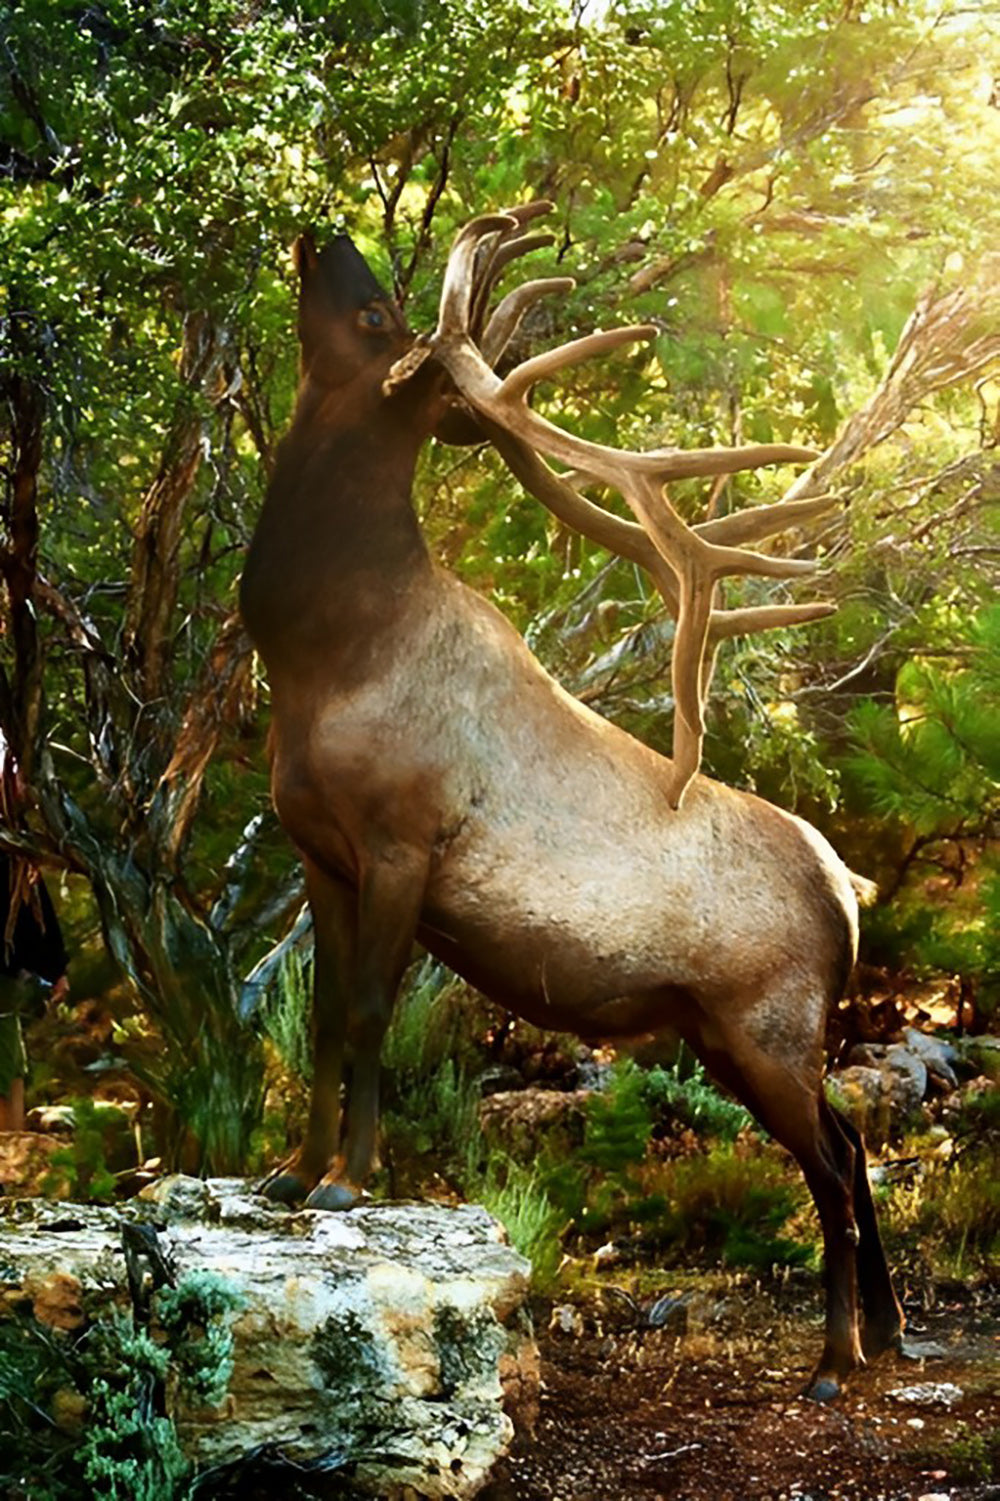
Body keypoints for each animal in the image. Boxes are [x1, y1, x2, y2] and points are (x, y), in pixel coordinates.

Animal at [239, 204, 903, 1401]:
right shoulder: (317, 847)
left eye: (378, 315)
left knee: (831, 1163)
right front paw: (286, 1173)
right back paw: (886, 1327)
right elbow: (317, 1018)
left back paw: (836, 1356)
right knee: (853, 1138)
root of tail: (850, 891)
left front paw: (348, 1180)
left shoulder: (404, 837)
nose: (322, 231)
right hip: (738, 1033)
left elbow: (367, 1013)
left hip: (768, 1020)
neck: (320, 656)